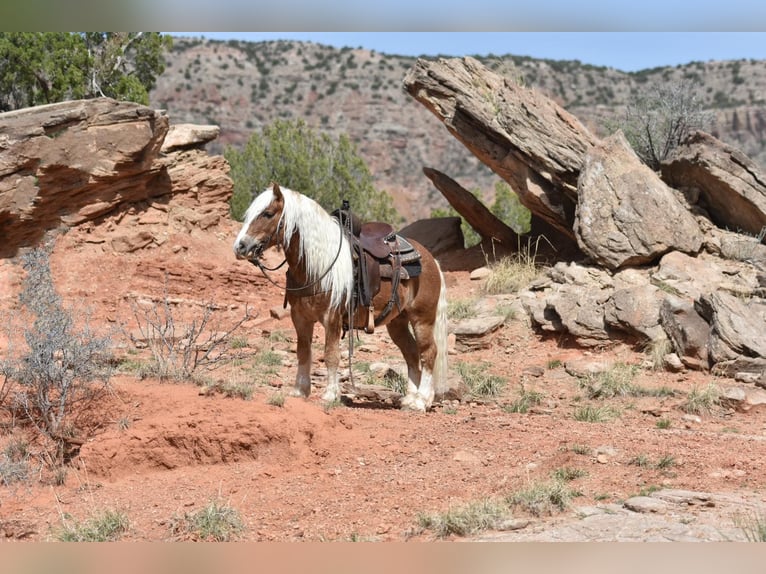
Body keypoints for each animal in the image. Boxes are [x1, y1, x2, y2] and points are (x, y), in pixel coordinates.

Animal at [234, 184, 450, 414]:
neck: (316, 264)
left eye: (267, 213)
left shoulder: (332, 318)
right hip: (397, 322)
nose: (240, 247)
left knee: (428, 352)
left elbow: (331, 354)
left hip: (422, 318)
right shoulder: (299, 317)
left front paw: (330, 394)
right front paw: (300, 390)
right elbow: (303, 351)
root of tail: (430, 259)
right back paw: (410, 399)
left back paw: (421, 401)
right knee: (411, 353)